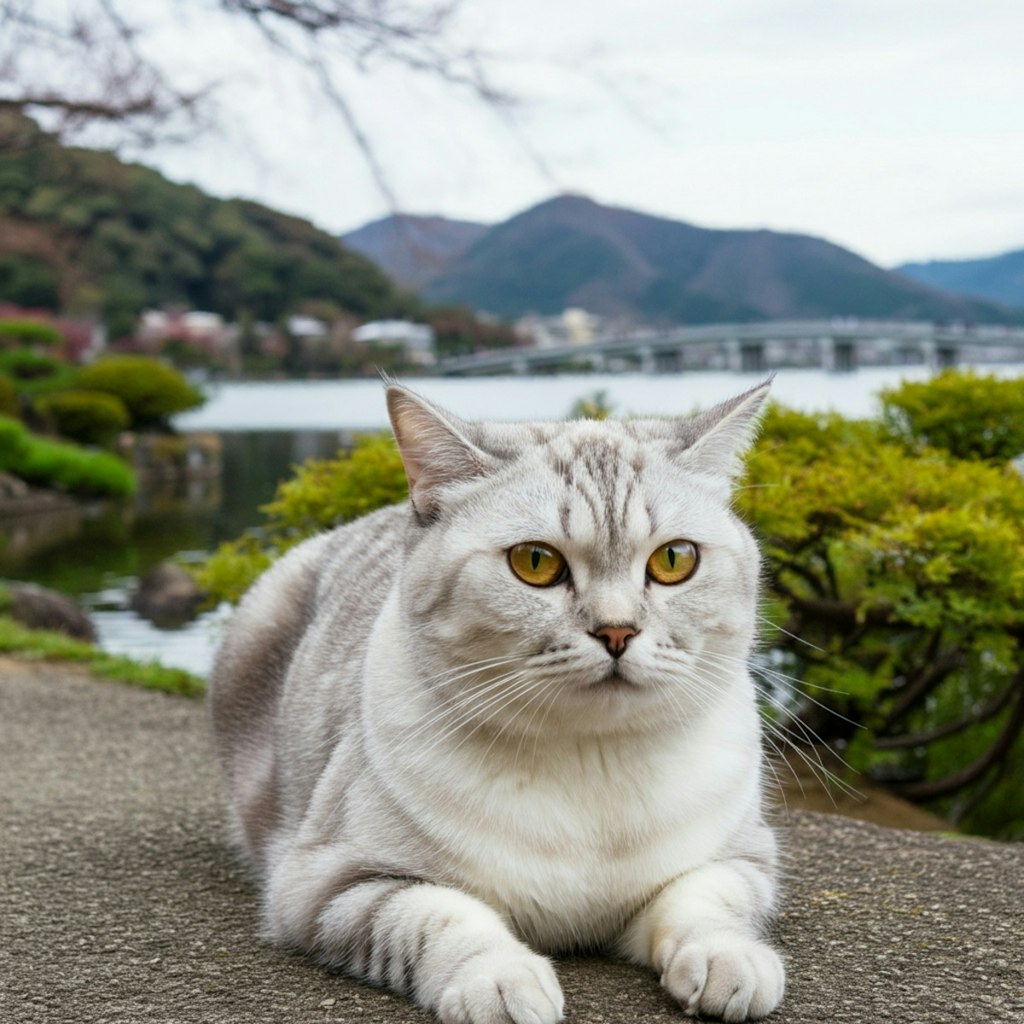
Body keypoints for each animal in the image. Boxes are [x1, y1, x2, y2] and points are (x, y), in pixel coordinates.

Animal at [207, 380, 782, 1019]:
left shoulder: (744, 859)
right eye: (536, 562)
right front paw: (502, 982)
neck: (591, 762)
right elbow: (441, 916)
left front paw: (728, 960)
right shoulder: (329, 884)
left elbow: (703, 901)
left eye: (674, 559)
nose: (616, 631)